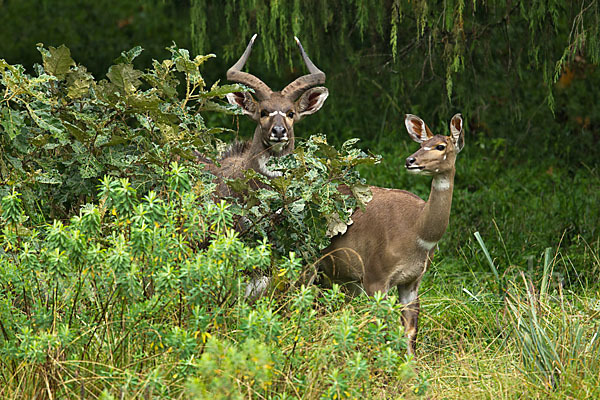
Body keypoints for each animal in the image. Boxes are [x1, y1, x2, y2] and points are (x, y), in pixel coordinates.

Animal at [322, 112, 466, 354]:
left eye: (440, 146)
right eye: (421, 144)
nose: (410, 161)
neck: (416, 232)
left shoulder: (412, 281)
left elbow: (409, 332)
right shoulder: (374, 276)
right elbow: (381, 329)